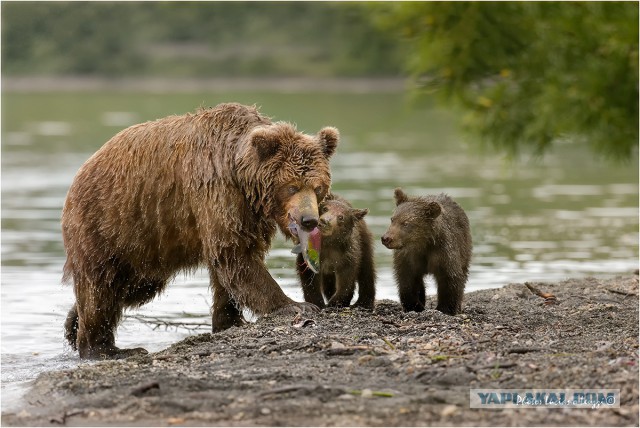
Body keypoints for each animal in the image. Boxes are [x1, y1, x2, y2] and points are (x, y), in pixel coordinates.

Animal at [62, 103, 338, 358]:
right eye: (292, 186)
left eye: (318, 187)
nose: (309, 220)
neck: (241, 175)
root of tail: (81, 171)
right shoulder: (215, 189)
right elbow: (235, 255)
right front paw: (296, 305)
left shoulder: (250, 214)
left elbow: (233, 264)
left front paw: (229, 320)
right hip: (105, 223)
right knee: (100, 287)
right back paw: (103, 348)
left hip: (143, 245)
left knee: (129, 288)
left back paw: (72, 323)